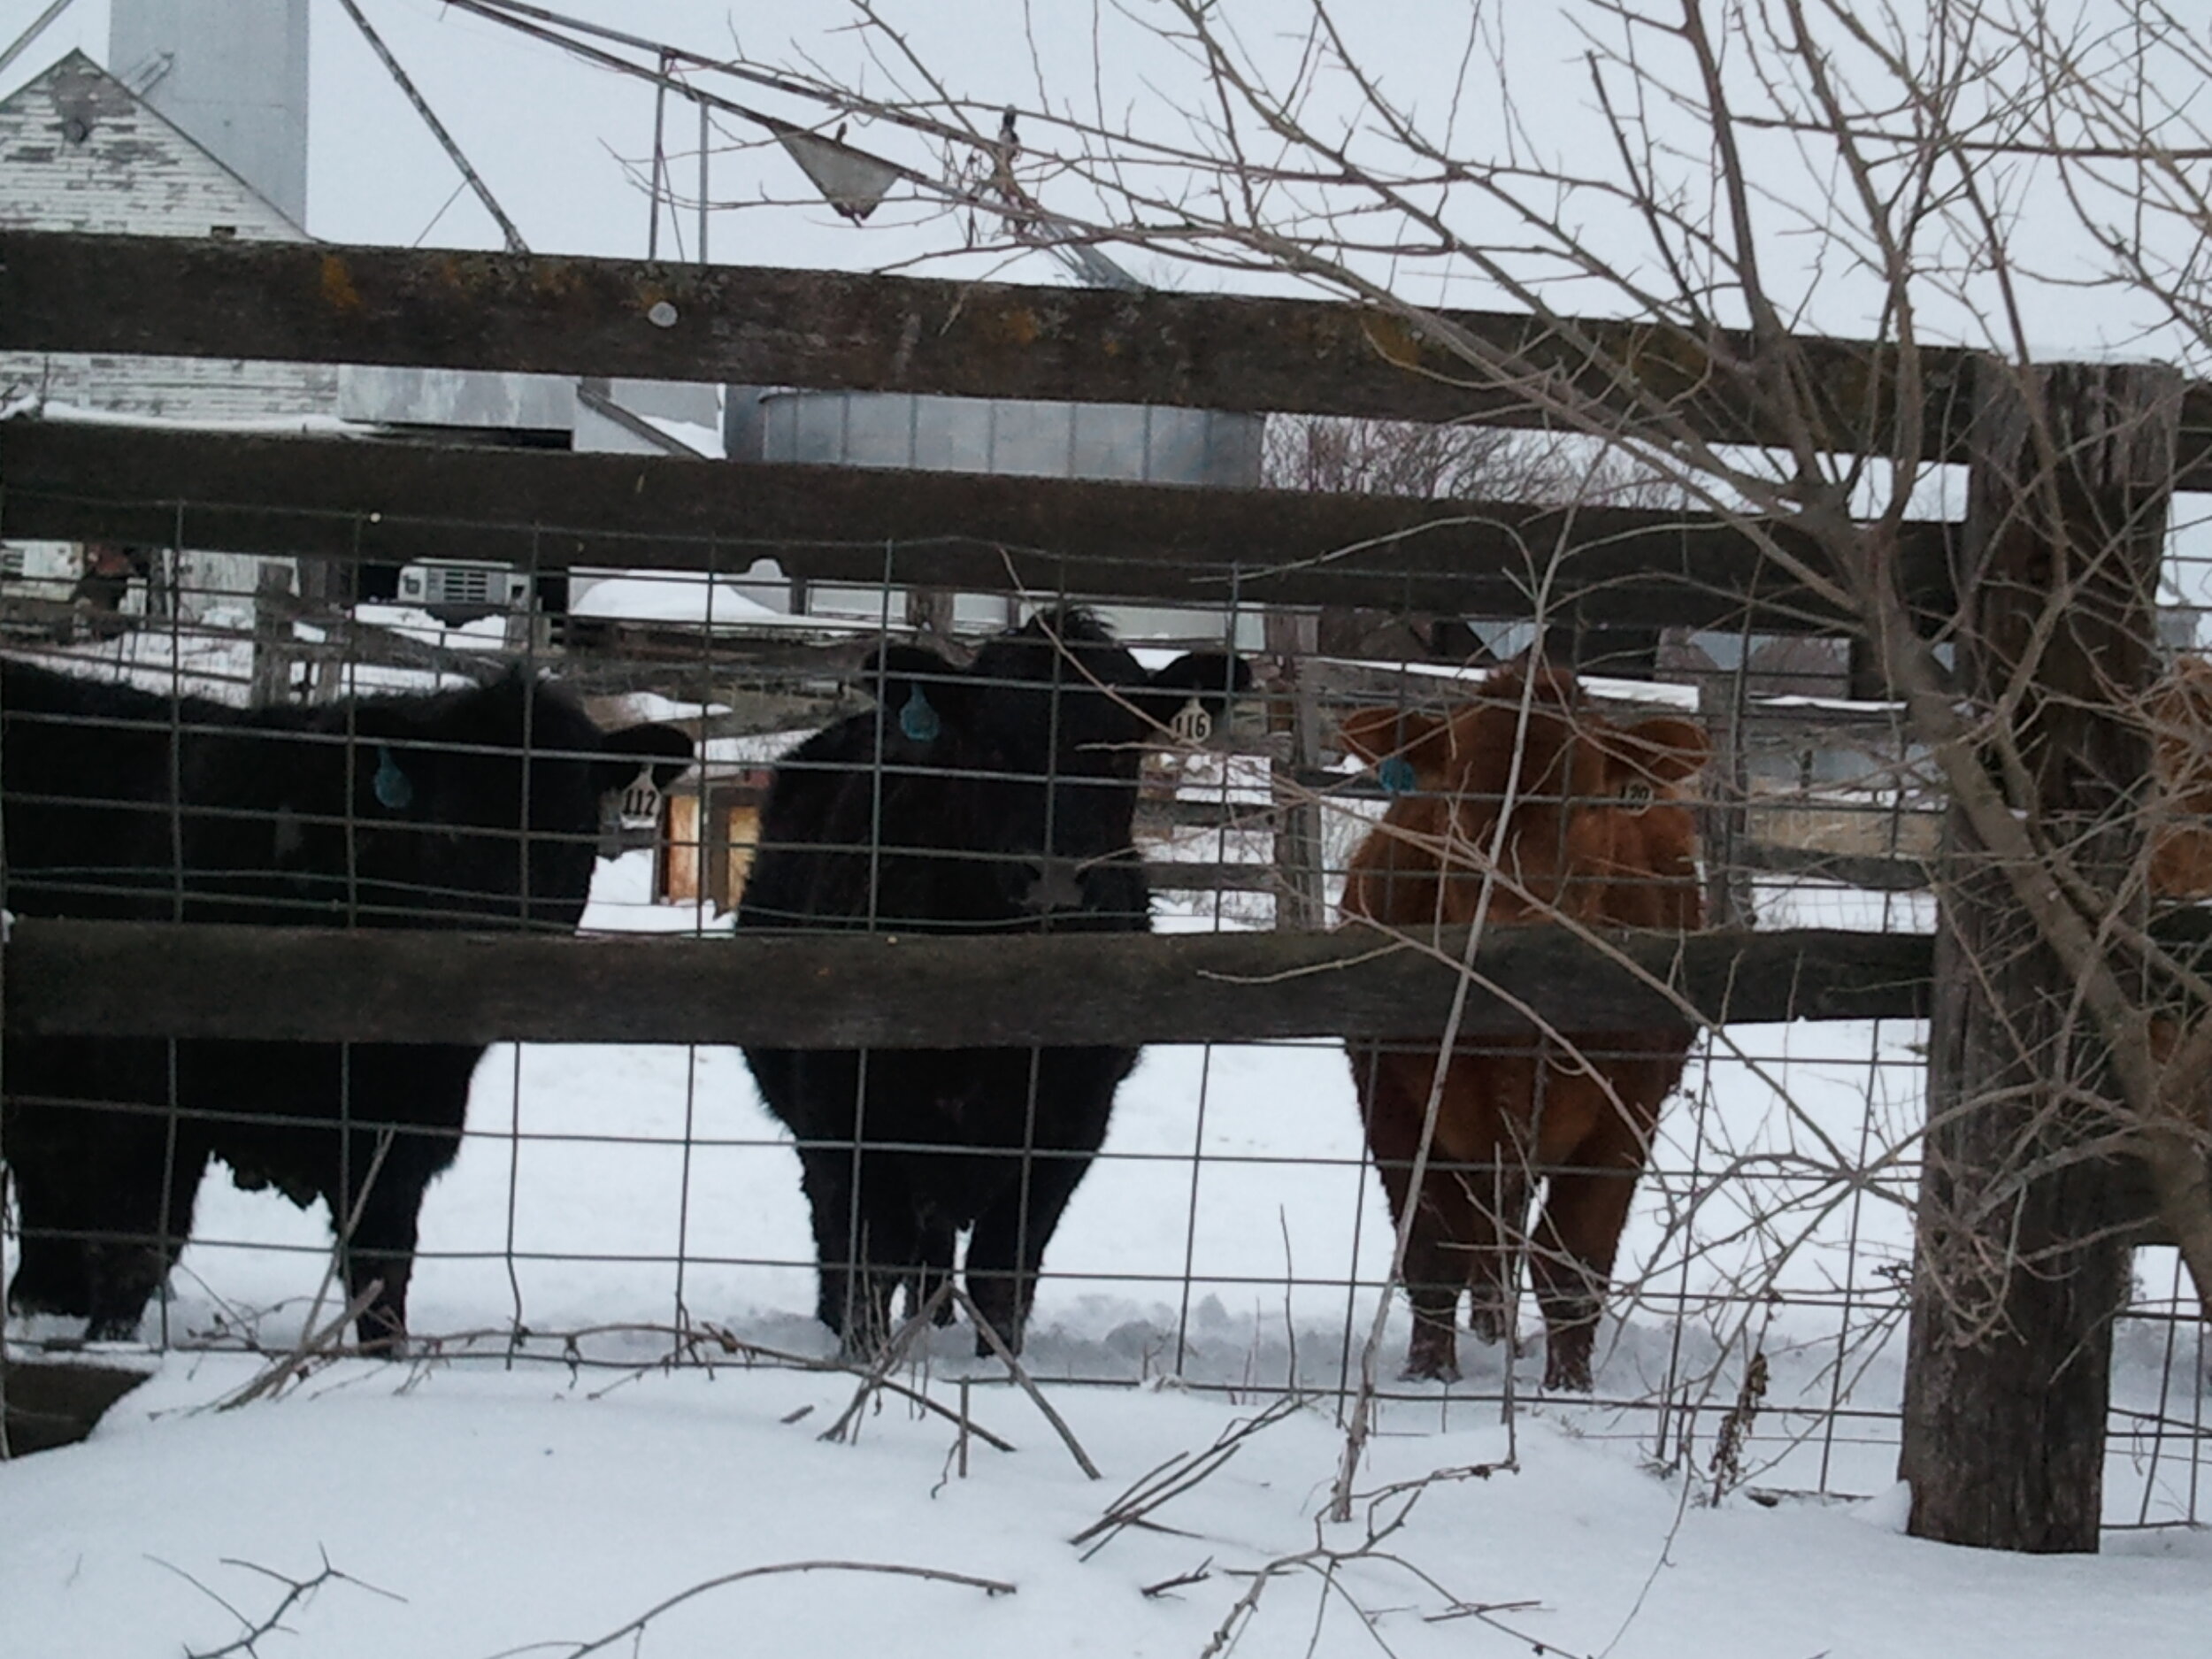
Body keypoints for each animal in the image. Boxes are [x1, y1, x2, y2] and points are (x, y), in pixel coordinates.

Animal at [1, 659, 693, 1346]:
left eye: (572, 832)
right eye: (449, 829)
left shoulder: (397, 1136)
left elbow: (381, 1273)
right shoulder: (146, 1098)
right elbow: (137, 1249)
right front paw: (109, 1349)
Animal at [738, 607, 1249, 1356]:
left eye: (1118, 752)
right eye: (994, 745)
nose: (1056, 874)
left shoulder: (1070, 1126)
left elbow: (1003, 1270)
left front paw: (993, 1362)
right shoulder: (846, 1113)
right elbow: (869, 1257)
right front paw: (867, 1357)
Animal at [1337, 661, 1709, 1391]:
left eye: (1594, 801)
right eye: (1457, 794)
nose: (1517, 927)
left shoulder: (1627, 1110)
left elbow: (1574, 1258)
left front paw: (1570, 1386)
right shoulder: (1389, 1097)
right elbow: (1431, 1249)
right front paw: (1429, 1374)